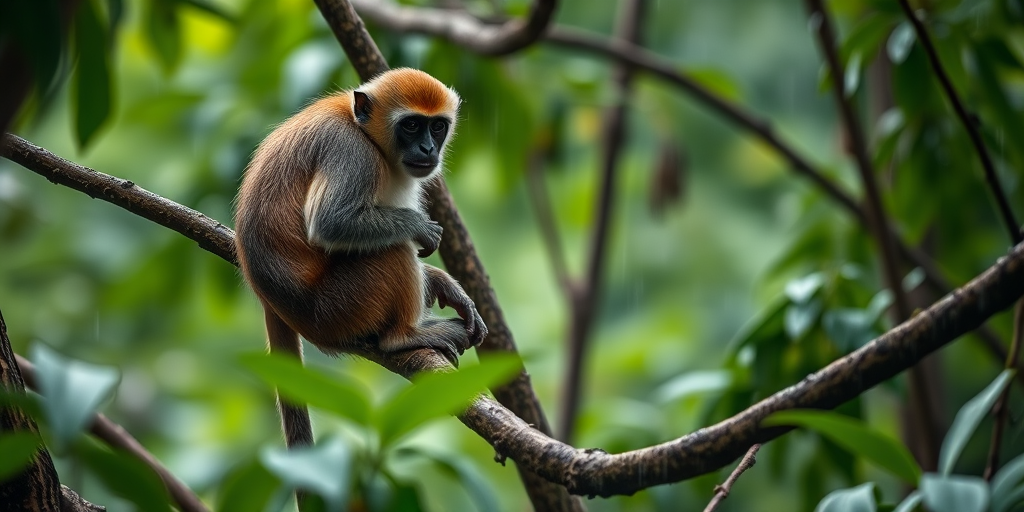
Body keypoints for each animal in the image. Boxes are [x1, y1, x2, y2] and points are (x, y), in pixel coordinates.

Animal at [234, 68, 487, 449]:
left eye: (437, 127)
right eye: (412, 125)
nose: (428, 148)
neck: (360, 126)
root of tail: (272, 300)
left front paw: (446, 285)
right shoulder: (351, 152)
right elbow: (330, 223)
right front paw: (420, 228)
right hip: (340, 307)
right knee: (395, 249)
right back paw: (405, 336)